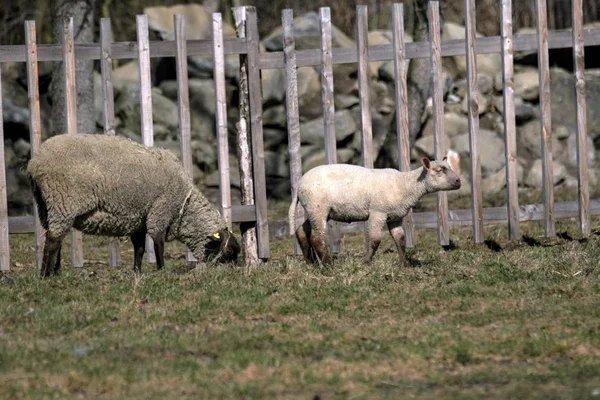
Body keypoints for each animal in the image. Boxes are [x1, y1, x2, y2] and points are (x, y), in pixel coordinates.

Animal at [27, 133, 239, 276]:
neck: (185, 208)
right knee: (53, 240)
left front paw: (137, 272)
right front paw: (162, 271)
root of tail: (34, 163)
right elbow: (158, 244)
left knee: (55, 239)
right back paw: (45, 275)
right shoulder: (159, 211)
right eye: (229, 252)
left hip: (45, 206)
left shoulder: (139, 220)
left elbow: (139, 248)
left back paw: (55, 272)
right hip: (63, 201)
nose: (235, 273)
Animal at [288, 152, 462, 268]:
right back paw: (328, 265)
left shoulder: (394, 217)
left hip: (313, 209)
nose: (458, 181)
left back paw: (310, 262)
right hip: (318, 207)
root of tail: (299, 185)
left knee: (302, 231)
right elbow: (375, 239)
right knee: (317, 237)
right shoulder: (378, 211)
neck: (405, 185)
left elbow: (400, 239)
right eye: (439, 171)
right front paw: (366, 262)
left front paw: (405, 264)